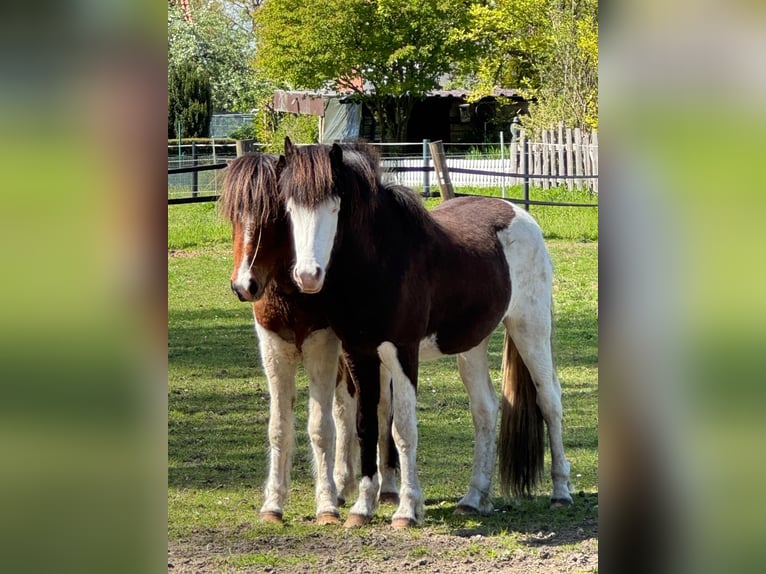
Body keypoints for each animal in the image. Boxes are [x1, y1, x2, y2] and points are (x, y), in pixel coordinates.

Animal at [218, 153, 399, 525]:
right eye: (233, 215)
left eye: (274, 214)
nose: (244, 285)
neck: (292, 292)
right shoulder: (275, 350)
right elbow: (280, 427)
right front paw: (274, 504)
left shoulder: (321, 346)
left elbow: (320, 427)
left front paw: (326, 506)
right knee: (346, 408)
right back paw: (344, 482)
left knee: (381, 408)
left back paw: (385, 488)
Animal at [279, 138, 573, 528]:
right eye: (290, 206)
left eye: (334, 205)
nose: (308, 275)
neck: (381, 263)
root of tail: (519, 214)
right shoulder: (359, 353)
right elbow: (365, 425)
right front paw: (362, 507)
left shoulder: (403, 352)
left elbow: (403, 429)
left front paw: (406, 510)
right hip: (473, 344)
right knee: (485, 410)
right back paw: (473, 499)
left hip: (531, 328)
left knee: (549, 401)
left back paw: (561, 492)